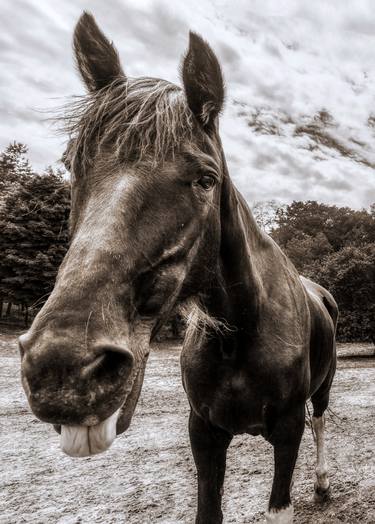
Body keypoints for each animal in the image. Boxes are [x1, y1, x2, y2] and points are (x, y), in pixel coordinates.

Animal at [19, 13, 340, 524]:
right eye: (72, 164)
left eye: (206, 179)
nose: (64, 369)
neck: (239, 335)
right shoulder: (204, 433)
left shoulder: (286, 431)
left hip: (323, 389)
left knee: (322, 422)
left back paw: (325, 483)